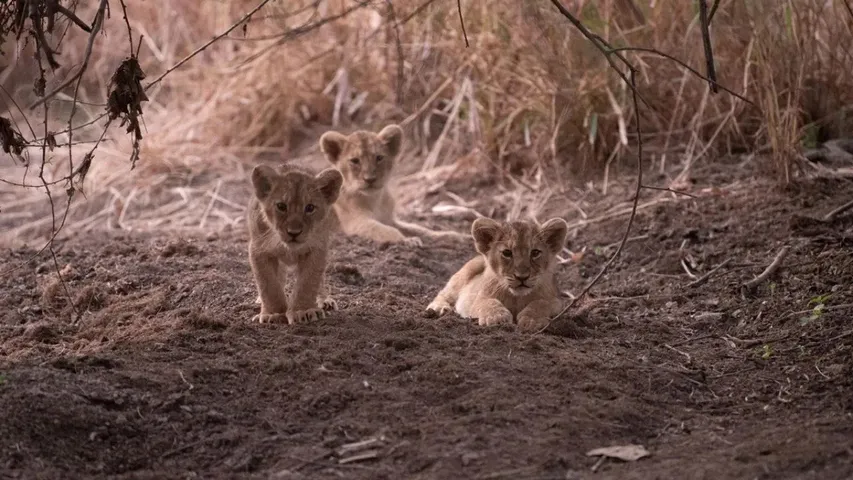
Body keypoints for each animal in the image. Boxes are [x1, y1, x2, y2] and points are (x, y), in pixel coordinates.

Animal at [247, 163, 344, 324]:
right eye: (281, 206)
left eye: (310, 208)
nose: (294, 232)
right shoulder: (259, 250)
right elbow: (268, 285)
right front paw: (273, 314)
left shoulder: (317, 249)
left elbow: (308, 282)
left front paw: (303, 311)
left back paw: (325, 300)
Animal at [318, 124, 468, 247]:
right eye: (355, 161)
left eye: (379, 158)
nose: (370, 179)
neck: (374, 199)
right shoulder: (357, 223)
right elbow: (386, 231)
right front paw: (407, 240)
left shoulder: (390, 219)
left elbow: (419, 228)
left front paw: (454, 236)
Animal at [425, 217, 569, 332]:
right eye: (507, 253)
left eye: (535, 253)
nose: (522, 277)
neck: (517, 298)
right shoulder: (477, 299)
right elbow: (488, 302)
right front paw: (497, 317)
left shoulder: (557, 302)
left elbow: (541, 303)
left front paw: (531, 320)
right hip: (465, 273)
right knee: (444, 293)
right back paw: (439, 309)